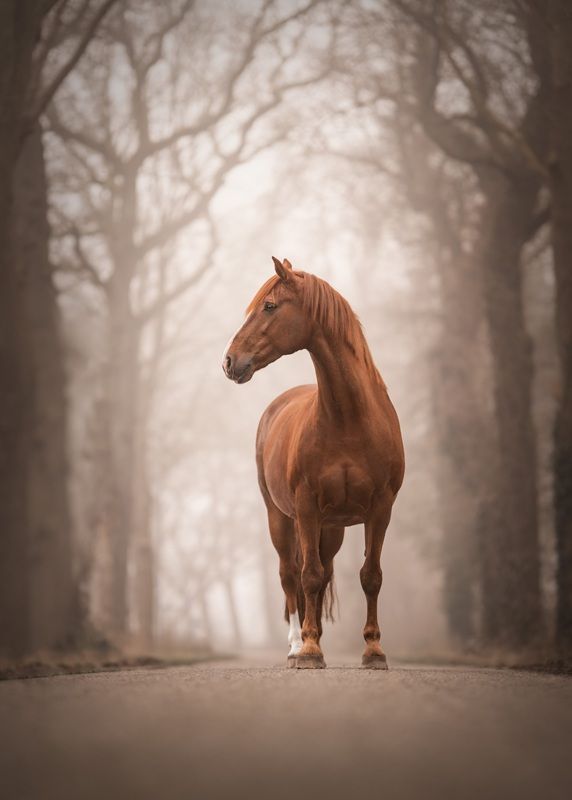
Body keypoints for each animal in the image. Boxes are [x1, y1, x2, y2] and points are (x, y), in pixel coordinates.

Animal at [223, 257, 404, 669]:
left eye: (269, 306)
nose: (229, 361)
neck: (348, 419)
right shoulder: (305, 507)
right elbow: (307, 576)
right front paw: (307, 651)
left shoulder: (380, 509)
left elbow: (370, 576)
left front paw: (373, 651)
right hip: (280, 517)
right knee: (290, 574)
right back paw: (296, 644)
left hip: (331, 528)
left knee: (324, 571)